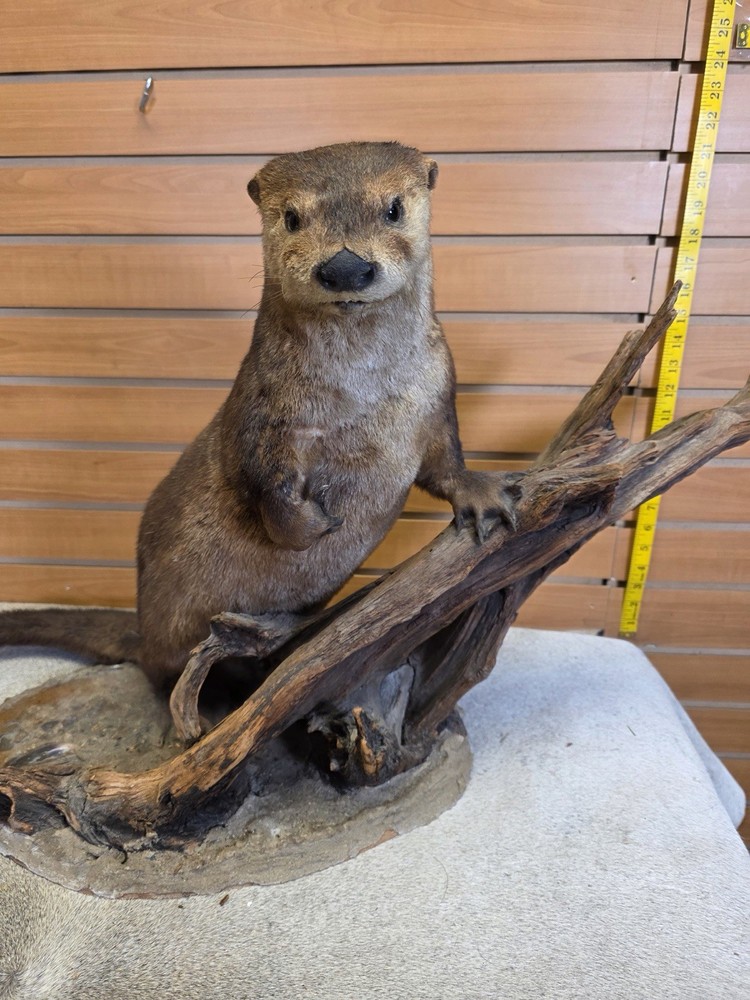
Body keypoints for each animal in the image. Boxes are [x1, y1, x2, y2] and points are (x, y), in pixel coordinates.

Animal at [0, 141, 513, 688]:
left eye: (393, 208)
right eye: (291, 217)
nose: (345, 267)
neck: (363, 395)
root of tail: (143, 631)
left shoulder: (438, 391)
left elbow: (445, 464)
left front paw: (481, 493)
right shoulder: (261, 411)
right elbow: (261, 484)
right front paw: (315, 526)